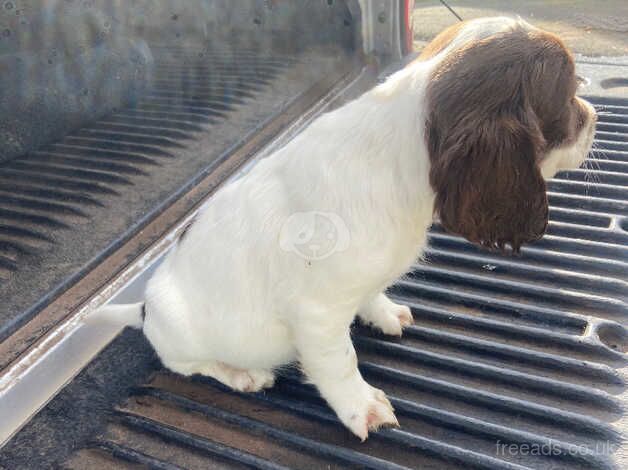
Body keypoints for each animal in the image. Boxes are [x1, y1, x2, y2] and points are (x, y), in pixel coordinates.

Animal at [91, 15, 596, 440]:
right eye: (569, 93)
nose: (593, 116)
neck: (403, 150)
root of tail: (143, 310)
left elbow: (371, 293)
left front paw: (383, 312)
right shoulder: (317, 314)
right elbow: (341, 363)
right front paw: (362, 407)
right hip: (183, 335)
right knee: (186, 363)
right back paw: (240, 373)